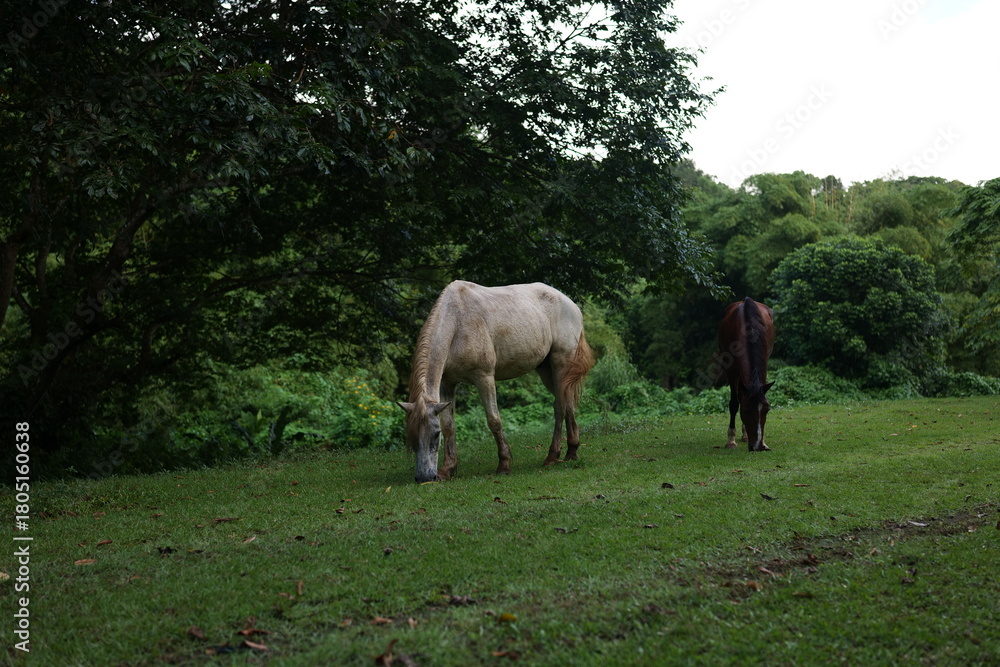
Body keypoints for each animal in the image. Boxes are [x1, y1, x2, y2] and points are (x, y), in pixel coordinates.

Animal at [398, 281, 595, 483]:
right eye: (412, 437)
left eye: (435, 435)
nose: (424, 477)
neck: (457, 323)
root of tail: (570, 303)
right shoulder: (447, 384)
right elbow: (449, 426)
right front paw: (448, 469)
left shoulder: (484, 378)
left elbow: (494, 420)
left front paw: (504, 464)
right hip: (546, 370)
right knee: (566, 402)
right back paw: (570, 451)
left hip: (560, 365)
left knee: (560, 406)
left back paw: (553, 455)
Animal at [717, 297, 776, 452]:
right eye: (747, 411)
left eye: (766, 410)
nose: (758, 446)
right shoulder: (731, 370)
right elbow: (734, 403)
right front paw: (731, 440)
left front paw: (764, 441)